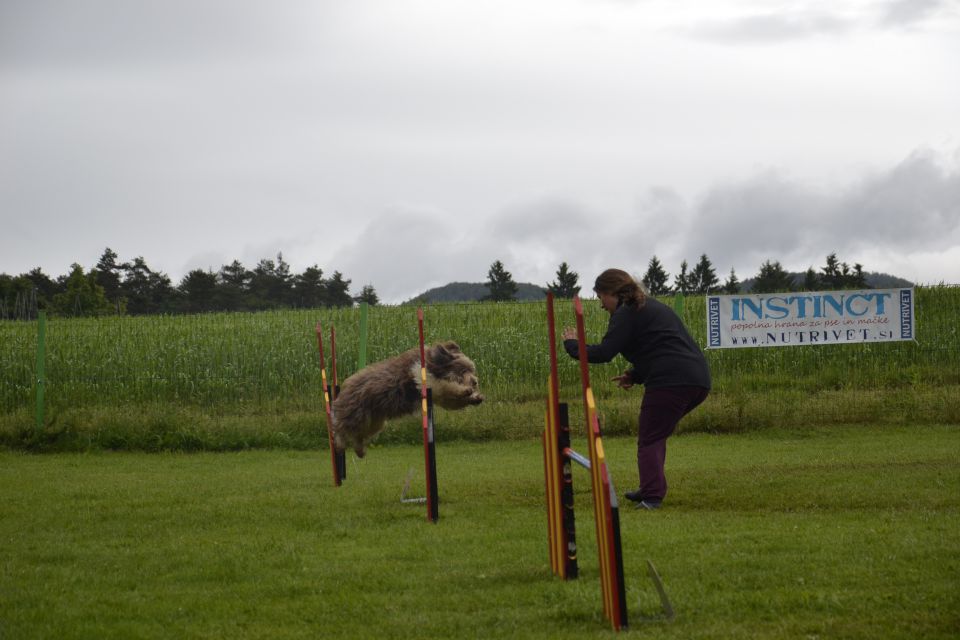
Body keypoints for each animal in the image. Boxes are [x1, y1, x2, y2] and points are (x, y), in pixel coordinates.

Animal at [330, 342, 484, 458]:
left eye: (472, 369)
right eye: (463, 370)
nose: (475, 382)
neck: (433, 364)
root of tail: (343, 390)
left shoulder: (435, 395)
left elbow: (451, 400)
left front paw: (475, 398)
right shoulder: (425, 380)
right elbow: (446, 388)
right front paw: (465, 391)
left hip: (374, 421)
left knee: (358, 435)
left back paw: (360, 451)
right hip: (356, 414)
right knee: (341, 429)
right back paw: (340, 445)